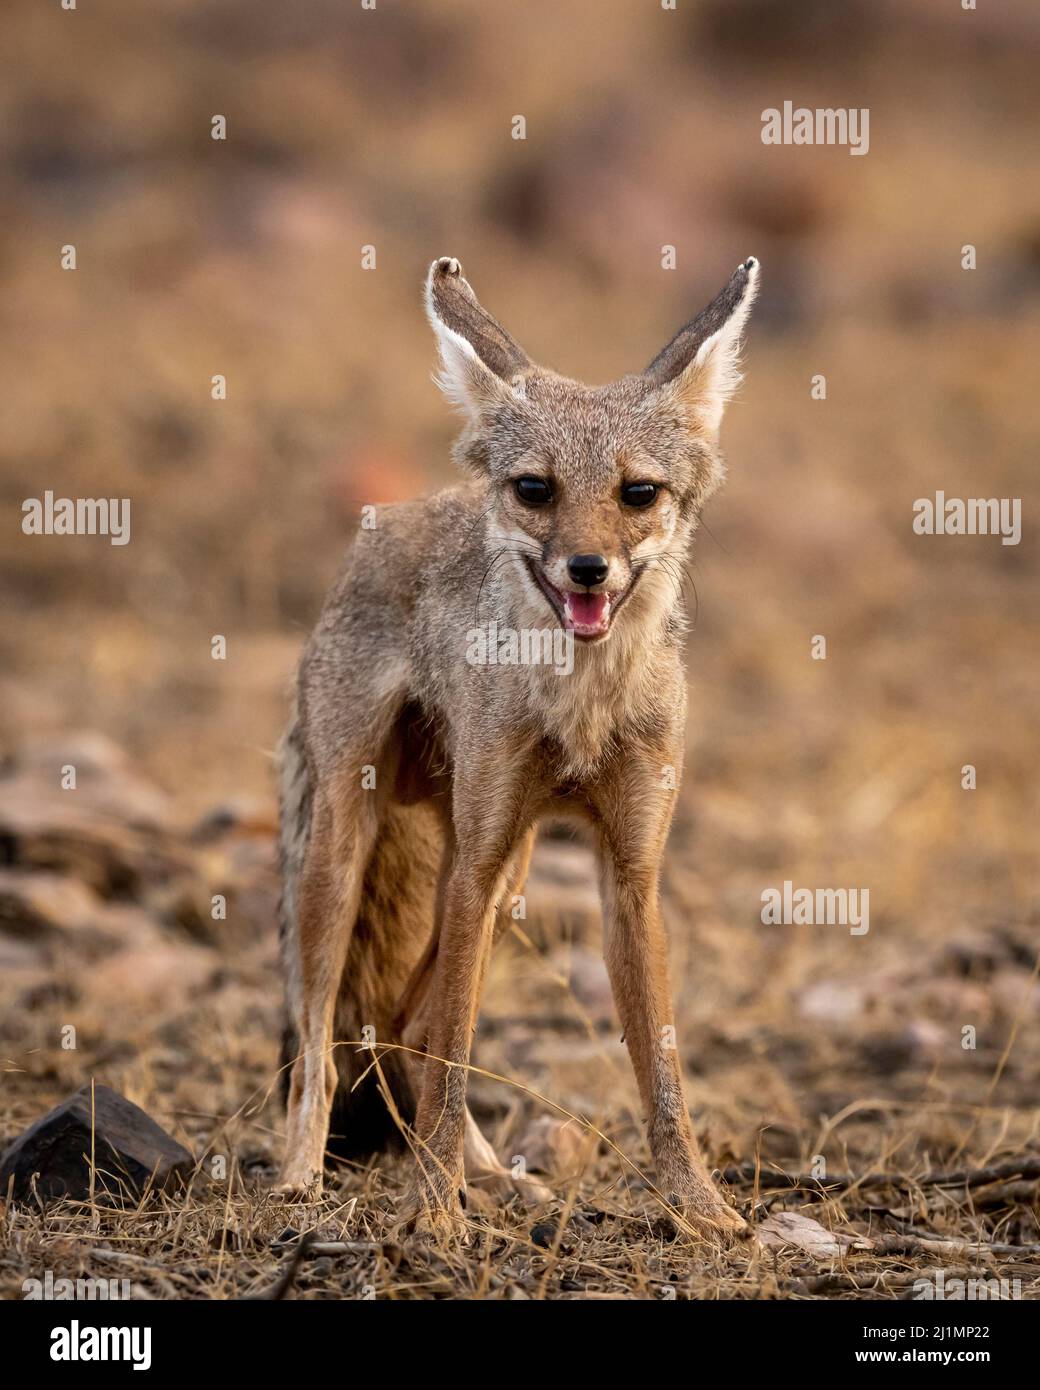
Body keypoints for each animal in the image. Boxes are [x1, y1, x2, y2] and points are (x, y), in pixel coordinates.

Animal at [276, 253, 759, 1241]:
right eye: (536, 489)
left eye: (638, 494)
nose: (588, 570)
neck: (581, 707)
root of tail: (393, 515)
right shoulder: (475, 862)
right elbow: (456, 1055)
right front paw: (432, 1213)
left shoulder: (629, 873)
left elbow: (661, 1076)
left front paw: (700, 1208)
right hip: (352, 856)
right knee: (328, 1041)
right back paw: (304, 1177)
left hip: (513, 875)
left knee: (409, 1025)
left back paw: (491, 1178)